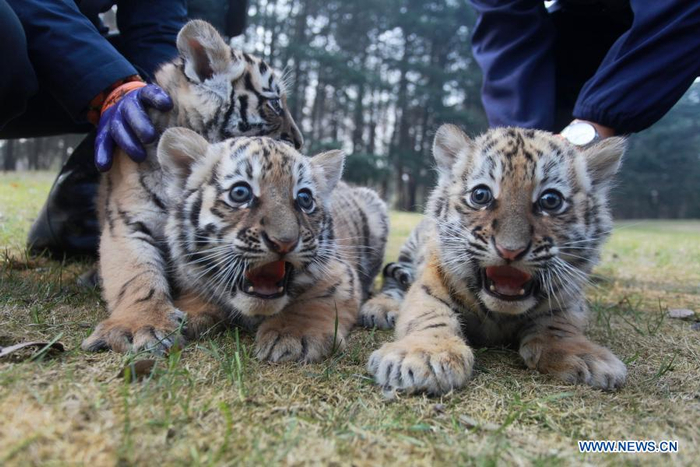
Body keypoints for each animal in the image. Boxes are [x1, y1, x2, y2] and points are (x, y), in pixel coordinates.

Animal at [150, 130, 387, 361]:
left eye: (305, 198)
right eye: (240, 193)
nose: (285, 242)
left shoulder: (339, 271)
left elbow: (318, 297)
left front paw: (293, 334)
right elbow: (195, 289)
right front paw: (184, 315)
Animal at [364, 125, 628, 394]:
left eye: (550, 200)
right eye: (481, 195)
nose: (509, 250)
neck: (501, 314)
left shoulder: (567, 300)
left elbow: (560, 328)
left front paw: (586, 358)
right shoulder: (430, 284)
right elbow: (429, 317)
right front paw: (424, 356)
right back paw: (380, 307)